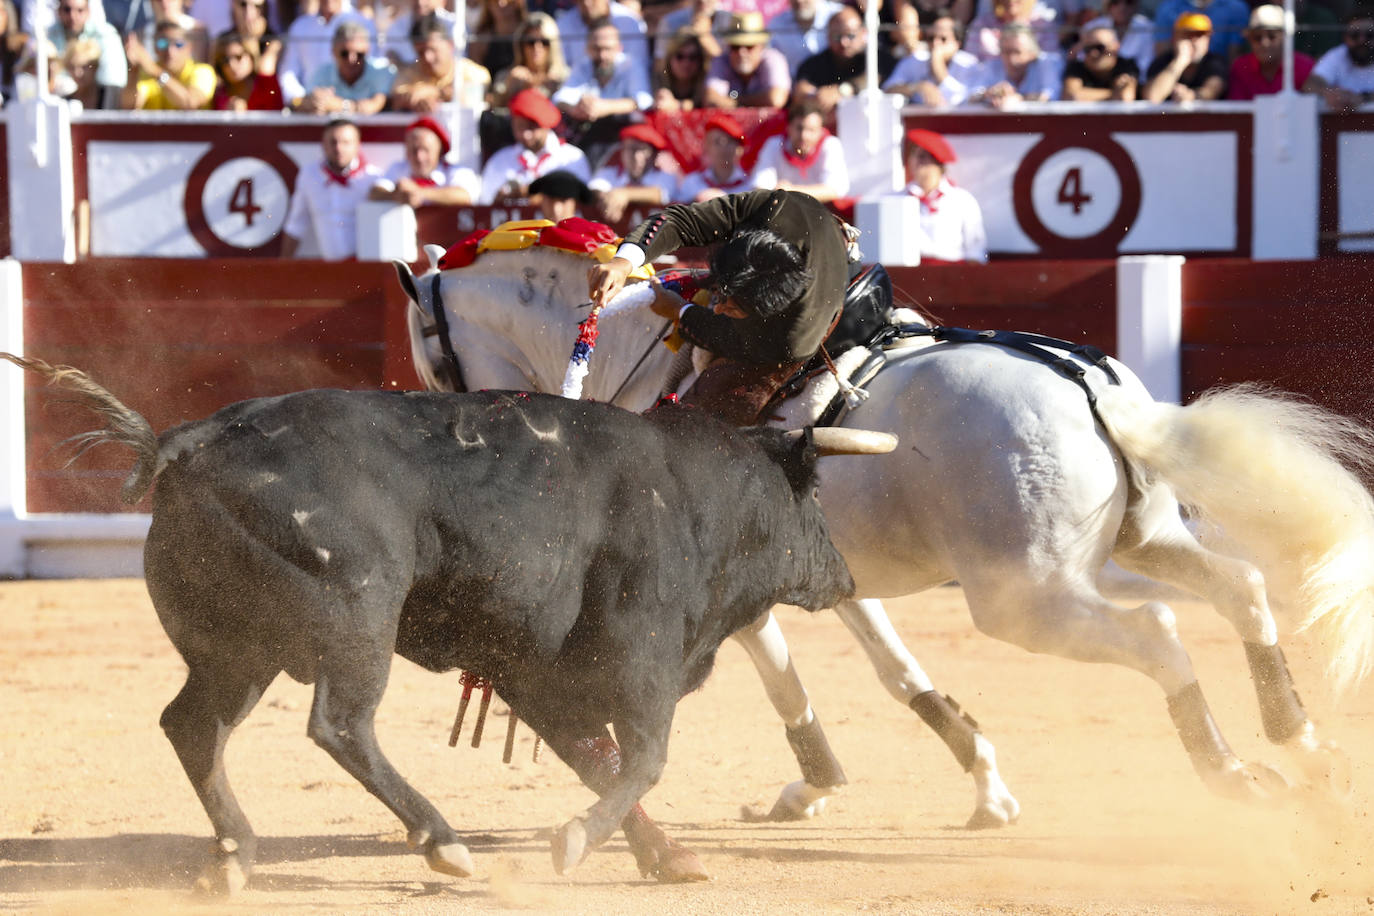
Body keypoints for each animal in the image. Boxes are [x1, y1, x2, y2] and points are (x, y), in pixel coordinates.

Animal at [5, 357, 895, 895]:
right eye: (811, 497)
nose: (847, 576)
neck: (697, 492)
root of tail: (186, 441)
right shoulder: (641, 661)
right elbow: (642, 758)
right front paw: (577, 843)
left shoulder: (538, 676)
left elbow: (599, 761)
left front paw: (665, 856)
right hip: (357, 620)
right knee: (340, 725)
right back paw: (441, 841)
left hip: (237, 648)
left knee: (193, 725)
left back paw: (233, 859)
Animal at [387, 241, 1374, 840]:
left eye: (431, 353)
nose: (451, 425)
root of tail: (1088, 383)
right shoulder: (847, 579)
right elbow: (898, 675)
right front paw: (981, 785)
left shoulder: (727, 589)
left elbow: (783, 678)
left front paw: (813, 781)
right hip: (1135, 541)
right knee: (1241, 589)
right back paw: (1303, 746)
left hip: (1024, 596)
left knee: (1162, 633)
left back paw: (1234, 774)